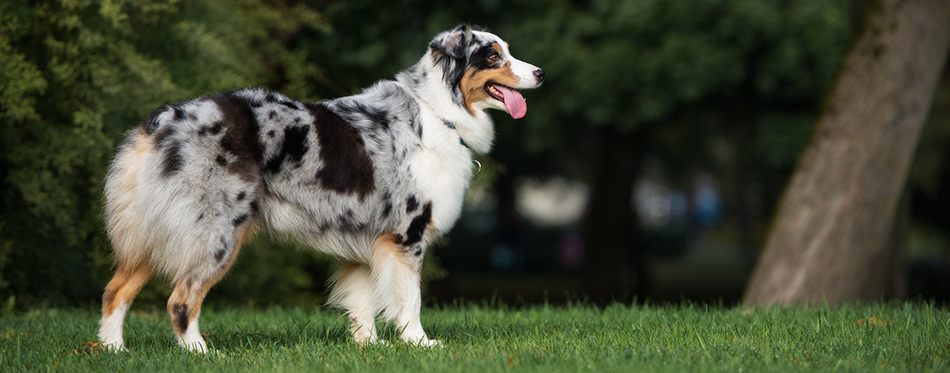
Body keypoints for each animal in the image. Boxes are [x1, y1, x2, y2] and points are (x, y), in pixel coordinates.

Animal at [96, 24, 544, 350]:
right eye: (493, 55)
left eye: (508, 50)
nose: (540, 73)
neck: (438, 112)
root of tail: (162, 121)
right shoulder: (405, 235)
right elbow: (410, 299)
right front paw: (420, 344)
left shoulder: (363, 241)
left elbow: (363, 303)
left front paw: (370, 347)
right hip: (214, 232)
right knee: (181, 299)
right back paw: (202, 353)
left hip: (151, 229)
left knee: (115, 290)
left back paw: (113, 350)